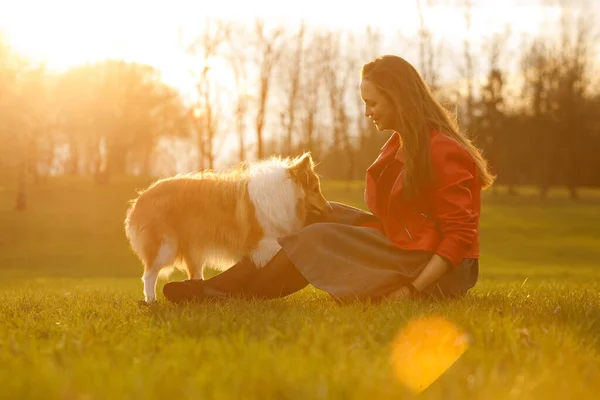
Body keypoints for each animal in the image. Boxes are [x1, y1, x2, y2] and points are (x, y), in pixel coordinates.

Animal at [125, 152, 332, 302]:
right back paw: (151, 301)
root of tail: (141, 198)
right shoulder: (263, 242)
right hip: (165, 246)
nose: (330, 209)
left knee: (194, 275)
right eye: (315, 189)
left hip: (194, 250)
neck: (285, 193)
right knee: (149, 275)